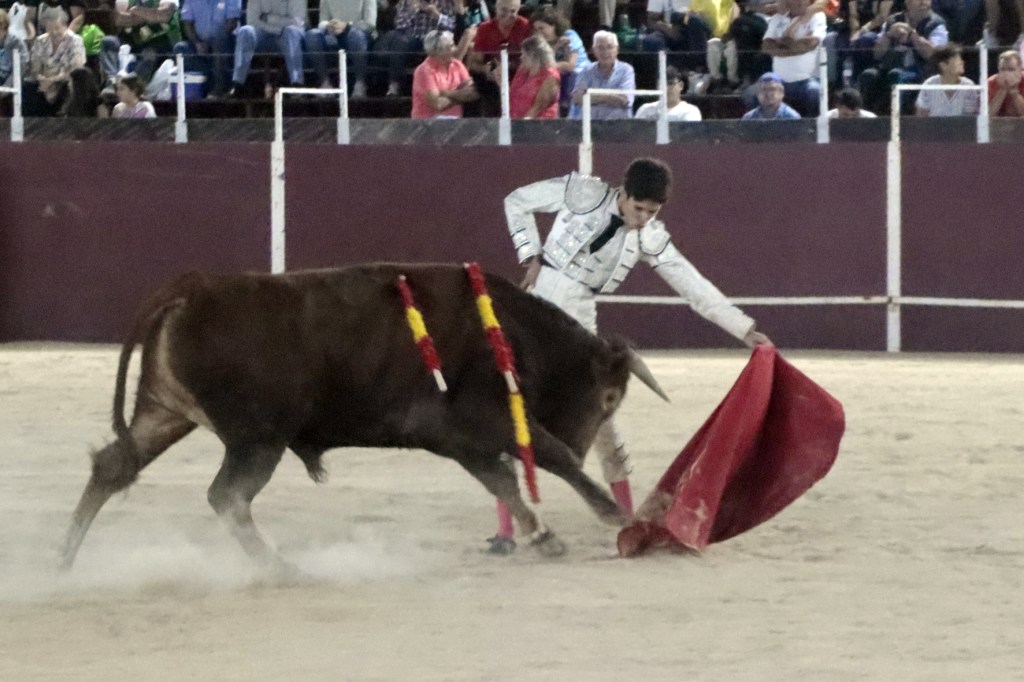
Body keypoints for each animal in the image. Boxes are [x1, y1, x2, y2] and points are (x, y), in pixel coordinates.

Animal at [60, 263, 667, 571]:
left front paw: (544, 537)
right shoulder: (481, 420)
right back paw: (282, 568)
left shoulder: (458, 439)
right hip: (258, 439)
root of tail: (186, 291)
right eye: (608, 399)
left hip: (164, 412)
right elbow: (547, 456)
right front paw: (615, 513)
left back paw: (64, 560)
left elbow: (503, 479)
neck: (511, 333)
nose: (589, 440)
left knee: (112, 467)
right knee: (227, 496)